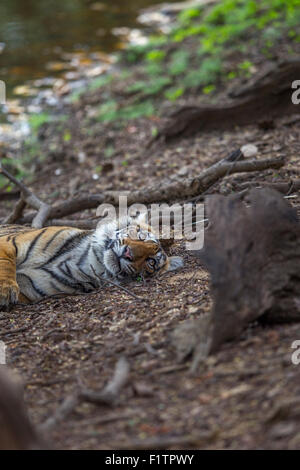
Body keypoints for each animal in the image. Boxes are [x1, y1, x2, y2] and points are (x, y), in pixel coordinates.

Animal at [0, 214, 183, 308]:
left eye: (151, 262)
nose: (128, 254)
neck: (91, 263)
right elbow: (5, 261)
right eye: (141, 237)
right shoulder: (10, 242)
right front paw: (6, 290)